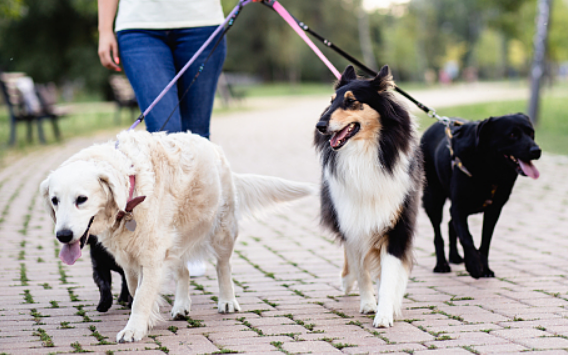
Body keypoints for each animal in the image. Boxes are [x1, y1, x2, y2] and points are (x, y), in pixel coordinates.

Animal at [40, 130, 312, 342]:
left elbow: (141, 296)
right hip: (176, 239)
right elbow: (135, 290)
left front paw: (133, 330)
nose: (63, 235)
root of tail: (209, 143)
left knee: (223, 266)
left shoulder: (151, 256)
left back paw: (227, 301)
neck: (131, 189)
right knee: (183, 271)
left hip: (222, 232)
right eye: (54, 200)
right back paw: (181, 306)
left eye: (81, 199)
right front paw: (145, 320)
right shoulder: (130, 261)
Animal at [316, 66, 422, 328]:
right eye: (331, 102)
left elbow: (390, 274)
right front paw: (367, 304)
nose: (320, 126)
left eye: (351, 101)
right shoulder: (352, 220)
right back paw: (347, 280)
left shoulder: (397, 225)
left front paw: (385, 313)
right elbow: (361, 268)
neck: (363, 153)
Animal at [422, 114, 540, 278]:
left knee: (451, 224)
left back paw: (455, 257)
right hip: (433, 199)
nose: (537, 150)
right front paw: (473, 265)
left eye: (531, 133)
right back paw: (441, 264)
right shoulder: (459, 207)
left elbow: (485, 241)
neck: (490, 170)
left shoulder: (494, 210)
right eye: (512, 135)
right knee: (438, 234)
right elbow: (466, 237)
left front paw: (485, 268)